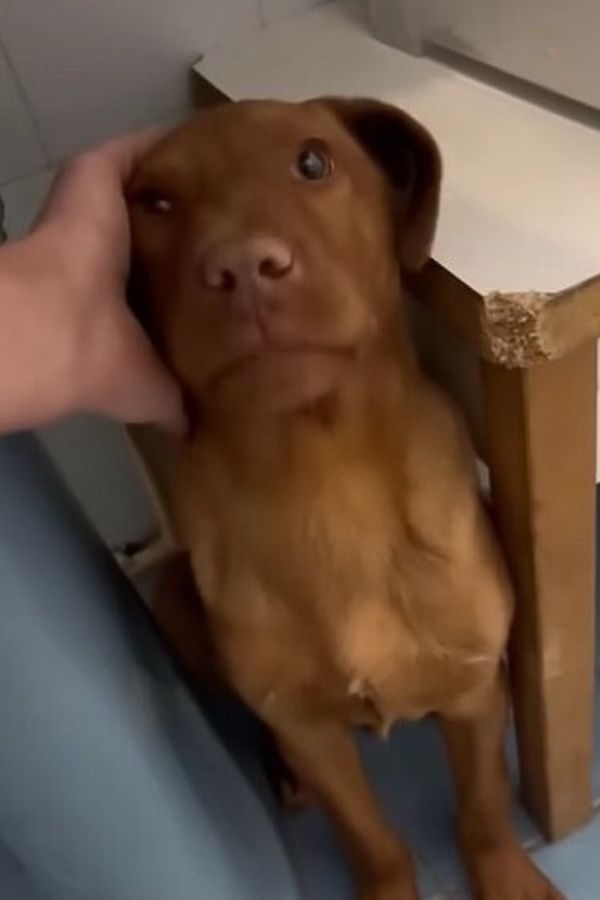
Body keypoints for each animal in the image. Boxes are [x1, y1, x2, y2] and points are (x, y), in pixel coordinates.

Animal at [126, 100, 564, 900]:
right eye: (155, 203)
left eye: (312, 163)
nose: (242, 267)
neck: (324, 477)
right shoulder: (314, 734)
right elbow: (373, 841)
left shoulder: (473, 689)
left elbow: (485, 807)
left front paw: (508, 878)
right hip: (176, 605)